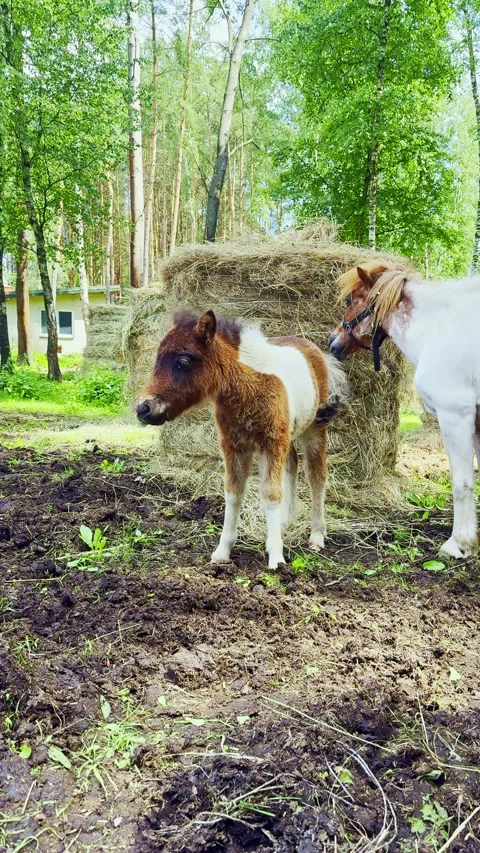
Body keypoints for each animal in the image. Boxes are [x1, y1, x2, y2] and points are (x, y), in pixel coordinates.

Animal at [137, 310, 348, 569]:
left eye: (183, 361)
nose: (144, 409)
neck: (248, 387)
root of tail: (315, 350)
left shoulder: (270, 444)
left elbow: (271, 494)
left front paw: (276, 557)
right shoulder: (234, 446)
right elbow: (233, 492)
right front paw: (222, 551)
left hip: (314, 429)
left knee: (316, 475)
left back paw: (317, 535)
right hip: (286, 435)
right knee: (292, 464)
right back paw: (284, 521)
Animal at [329, 260, 480, 559]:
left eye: (351, 300)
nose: (333, 343)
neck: (440, 330)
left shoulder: (456, 416)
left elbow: (461, 482)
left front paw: (459, 543)